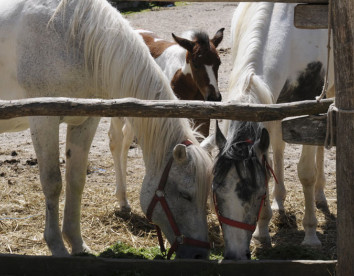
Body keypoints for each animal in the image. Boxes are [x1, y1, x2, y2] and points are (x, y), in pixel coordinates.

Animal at [0, 0, 212, 258]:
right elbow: (52, 183)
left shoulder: (85, 121)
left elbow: (76, 180)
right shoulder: (44, 121)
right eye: (185, 195)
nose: (200, 254)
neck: (73, 40)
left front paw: (77, 243)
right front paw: (57, 246)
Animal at [109, 28, 224, 210]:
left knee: (126, 140)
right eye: (196, 63)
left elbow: (204, 147)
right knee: (116, 141)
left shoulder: (203, 117)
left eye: (218, 63)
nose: (215, 97)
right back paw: (122, 200)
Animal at [212, 2, 334, 260]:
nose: (234, 256)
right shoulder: (268, 108)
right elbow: (267, 164)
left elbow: (306, 173)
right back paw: (280, 200)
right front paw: (263, 231)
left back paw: (320, 194)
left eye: (256, 195)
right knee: (279, 146)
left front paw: (310, 235)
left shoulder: (309, 105)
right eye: (216, 193)